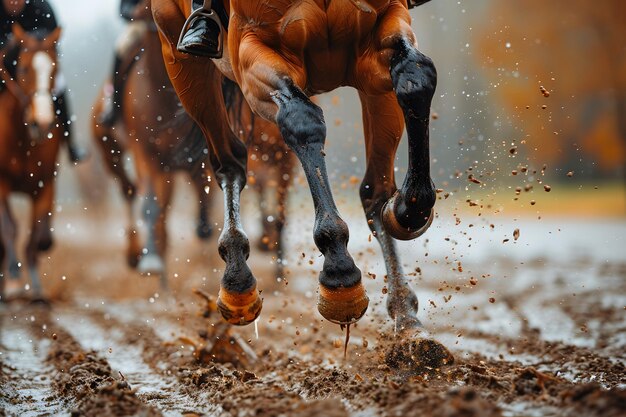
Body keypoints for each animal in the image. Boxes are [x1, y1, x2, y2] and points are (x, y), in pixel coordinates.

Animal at [152, 0, 450, 364]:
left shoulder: (380, 33)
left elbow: (416, 77)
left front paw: (410, 210)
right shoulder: (253, 50)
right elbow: (301, 120)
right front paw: (339, 272)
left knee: (374, 191)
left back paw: (408, 323)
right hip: (182, 62)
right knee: (230, 162)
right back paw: (237, 280)